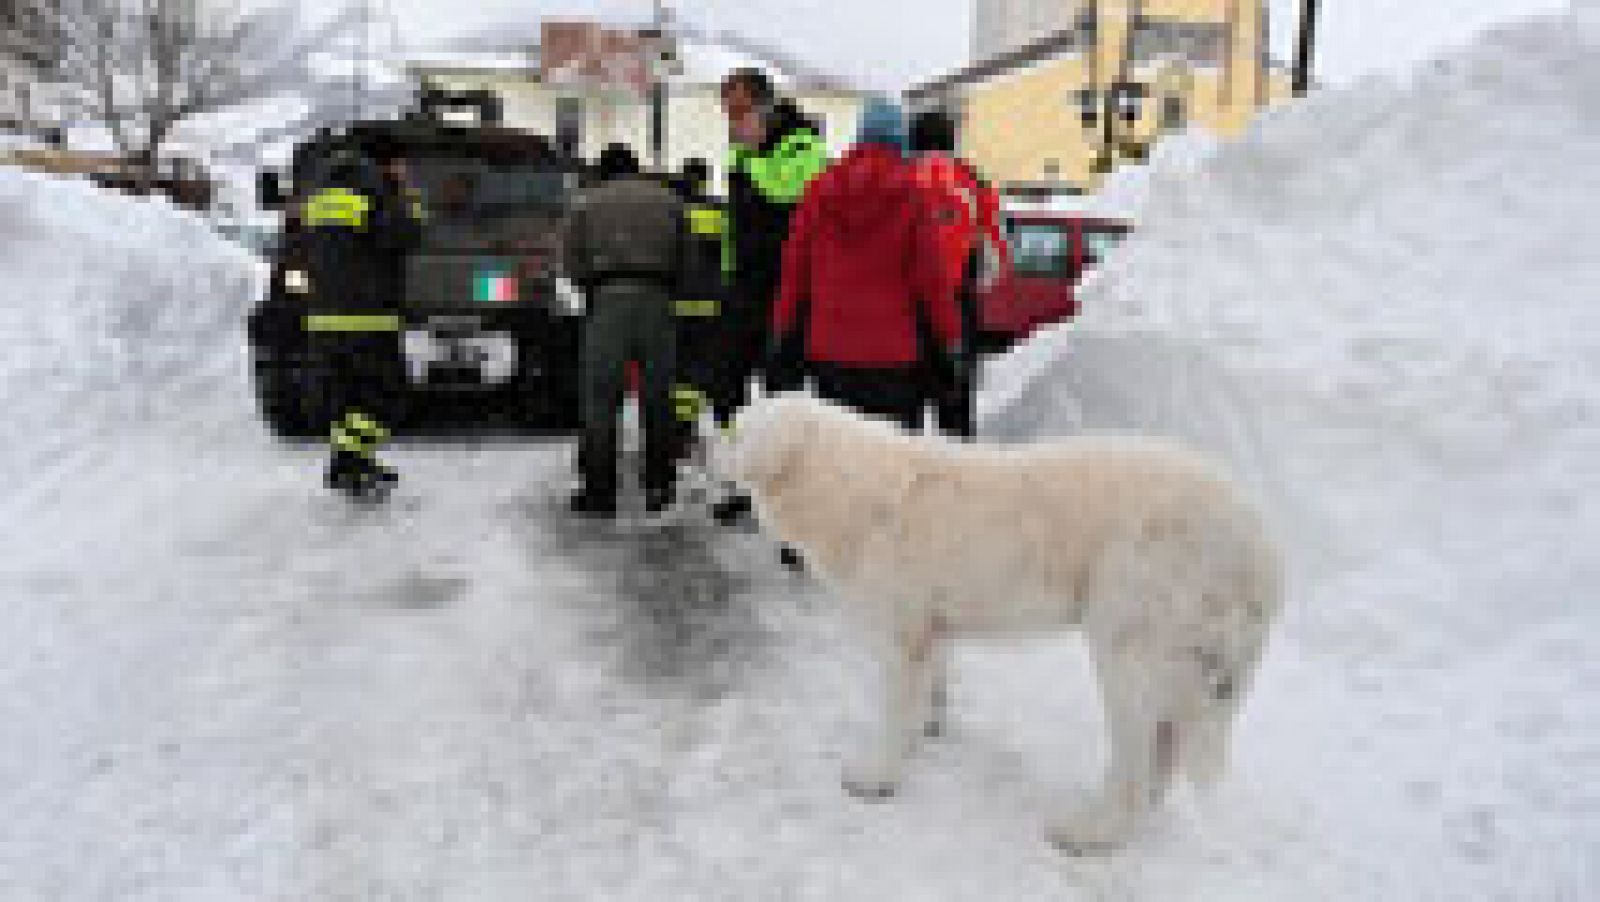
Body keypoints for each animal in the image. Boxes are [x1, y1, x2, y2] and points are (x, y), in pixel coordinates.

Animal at [726, 393, 1286, 850]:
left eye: (737, 431)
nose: (707, 443)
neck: (846, 489)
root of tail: (1261, 546)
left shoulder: (904, 631)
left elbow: (895, 709)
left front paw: (876, 777)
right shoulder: (933, 628)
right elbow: (930, 690)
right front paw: (925, 733)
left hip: (1131, 640)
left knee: (1137, 756)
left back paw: (1089, 834)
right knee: (1164, 744)